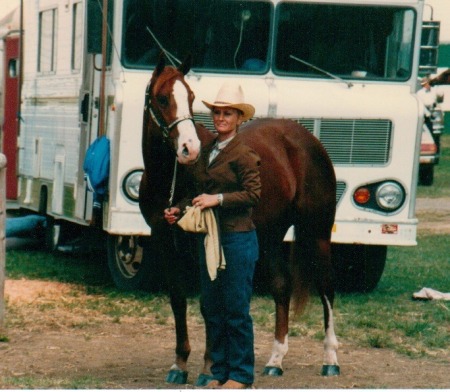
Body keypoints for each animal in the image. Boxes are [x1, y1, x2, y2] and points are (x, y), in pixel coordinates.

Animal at [139, 56, 340, 386]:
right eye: (163, 98)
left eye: (191, 97)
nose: (189, 149)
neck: (170, 180)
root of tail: (306, 139)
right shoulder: (164, 240)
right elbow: (178, 299)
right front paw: (179, 365)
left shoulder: (204, 244)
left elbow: (209, 305)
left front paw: (209, 369)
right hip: (270, 236)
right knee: (281, 287)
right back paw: (275, 361)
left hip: (318, 232)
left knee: (327, 288)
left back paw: (330, 360)